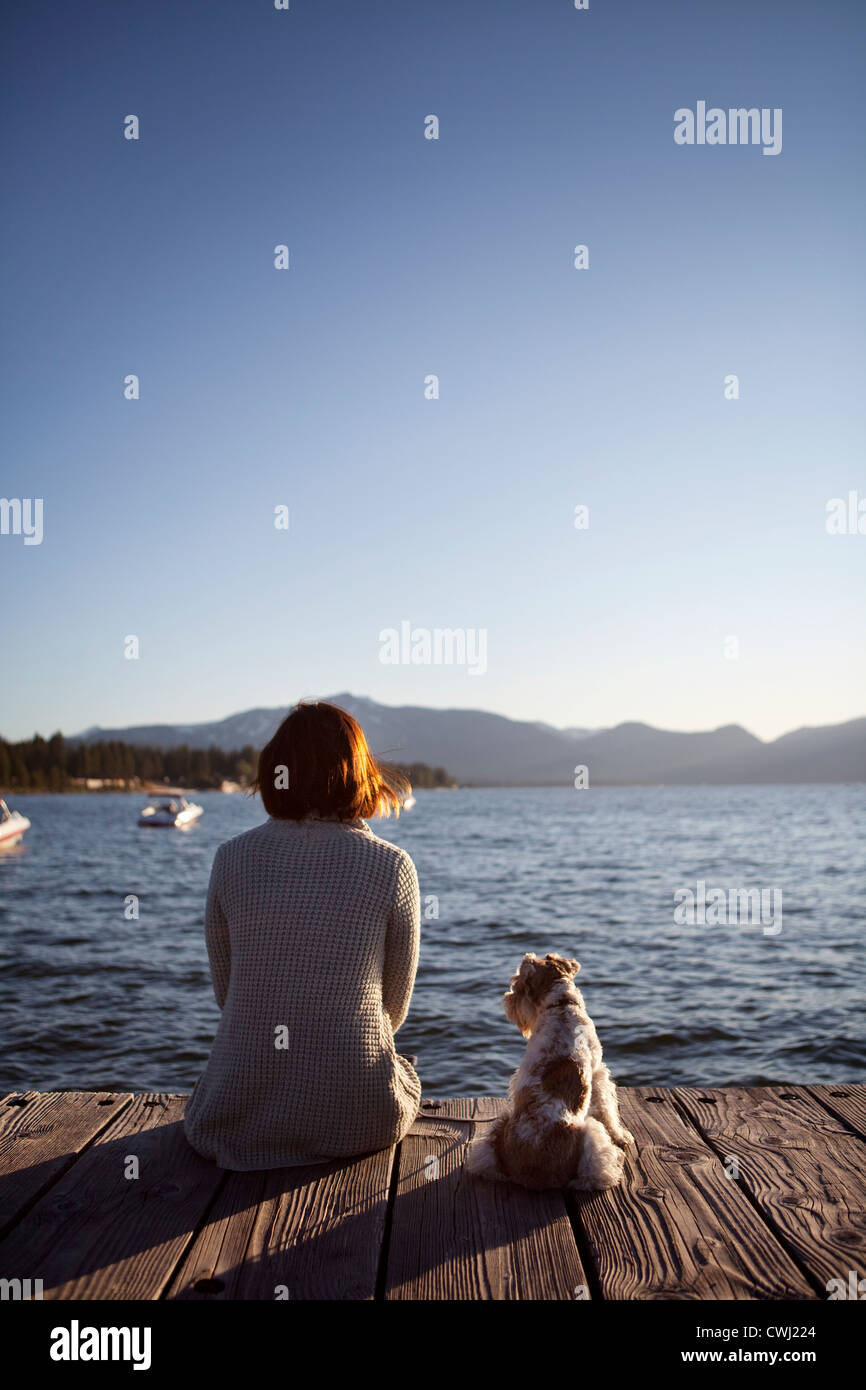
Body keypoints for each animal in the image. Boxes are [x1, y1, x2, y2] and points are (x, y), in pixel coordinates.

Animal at [467, 956, 636, 1195]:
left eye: (518, 985)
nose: (507, 1001)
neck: (561, 1005)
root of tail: (531, 1177)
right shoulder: (598, 1074)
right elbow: (608, 1111)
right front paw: (621, 1136)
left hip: (499, 1128)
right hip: (591, 1132)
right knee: (592, 1175)